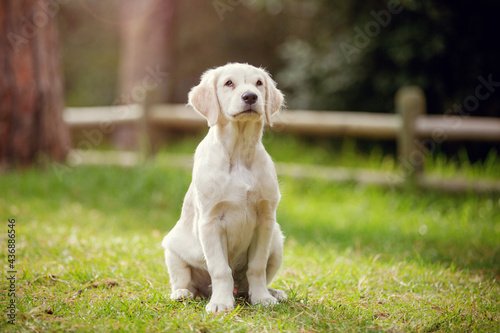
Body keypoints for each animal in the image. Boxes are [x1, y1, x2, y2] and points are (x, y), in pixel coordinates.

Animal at [162, 61, 288, 312]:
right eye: (229, 83)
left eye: (259, 83)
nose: (250, 96)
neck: (239, 152)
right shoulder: (210, 222)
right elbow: (220, 269)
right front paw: (220, 303)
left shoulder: (265, 220)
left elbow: (257, 266)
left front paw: (262, 298)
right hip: (171, 248)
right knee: (183, 280)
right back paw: (182, 293)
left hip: (277, 241)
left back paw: (273, 292)